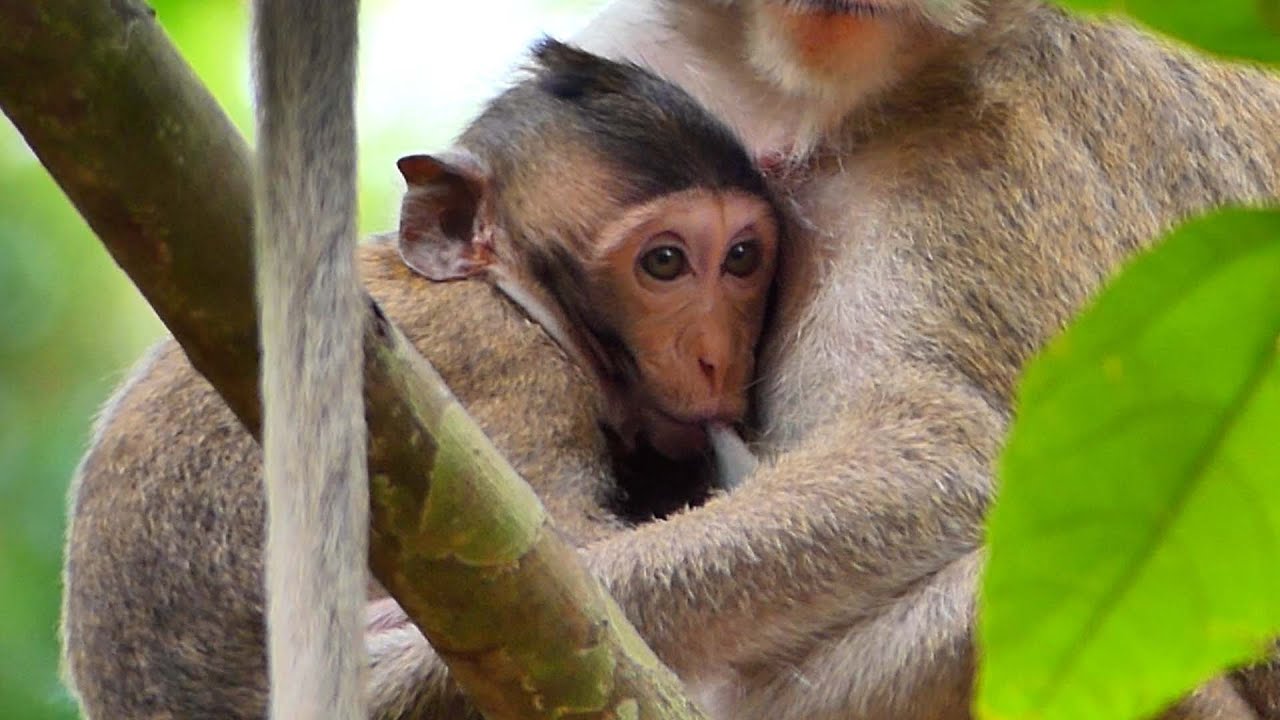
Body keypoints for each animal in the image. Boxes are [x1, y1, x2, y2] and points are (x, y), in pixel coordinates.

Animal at [59, 38, 783, 719]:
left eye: (742, 257)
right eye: (664, 262)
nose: (719, 358)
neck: (515, 296)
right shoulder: (509, 378)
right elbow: (568, 593)